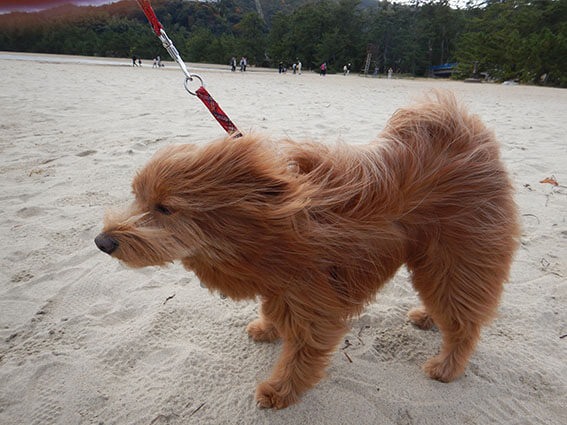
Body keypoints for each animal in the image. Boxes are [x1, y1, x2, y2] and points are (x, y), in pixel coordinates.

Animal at [96, 92, 520, 408]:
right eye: (137, 197)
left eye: (165, 208)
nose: (102, 242)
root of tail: (468, 132)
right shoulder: (281, 285)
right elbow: (273, 310)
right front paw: (267, 328)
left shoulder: (313, 295)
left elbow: (303, 348)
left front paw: (280, 391)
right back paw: (429, 318)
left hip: (459, 254)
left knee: (465, 317)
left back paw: (447, 366)